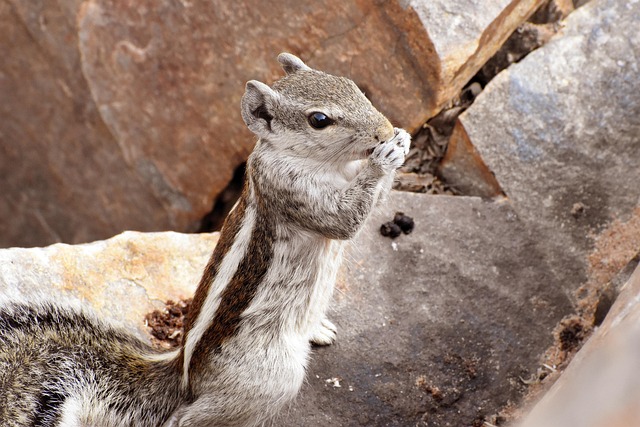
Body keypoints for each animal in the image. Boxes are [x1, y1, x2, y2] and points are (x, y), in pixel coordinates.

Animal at [0, 53, 411, 426]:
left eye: (352, 84)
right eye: (319, 120)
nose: (384, 128)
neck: (331, 165)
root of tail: (183, 376)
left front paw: (402, 140)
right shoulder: (290, 189)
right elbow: (343, 221)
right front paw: (386, 155)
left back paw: (319, 329)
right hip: (270, 376)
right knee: (188, 419)